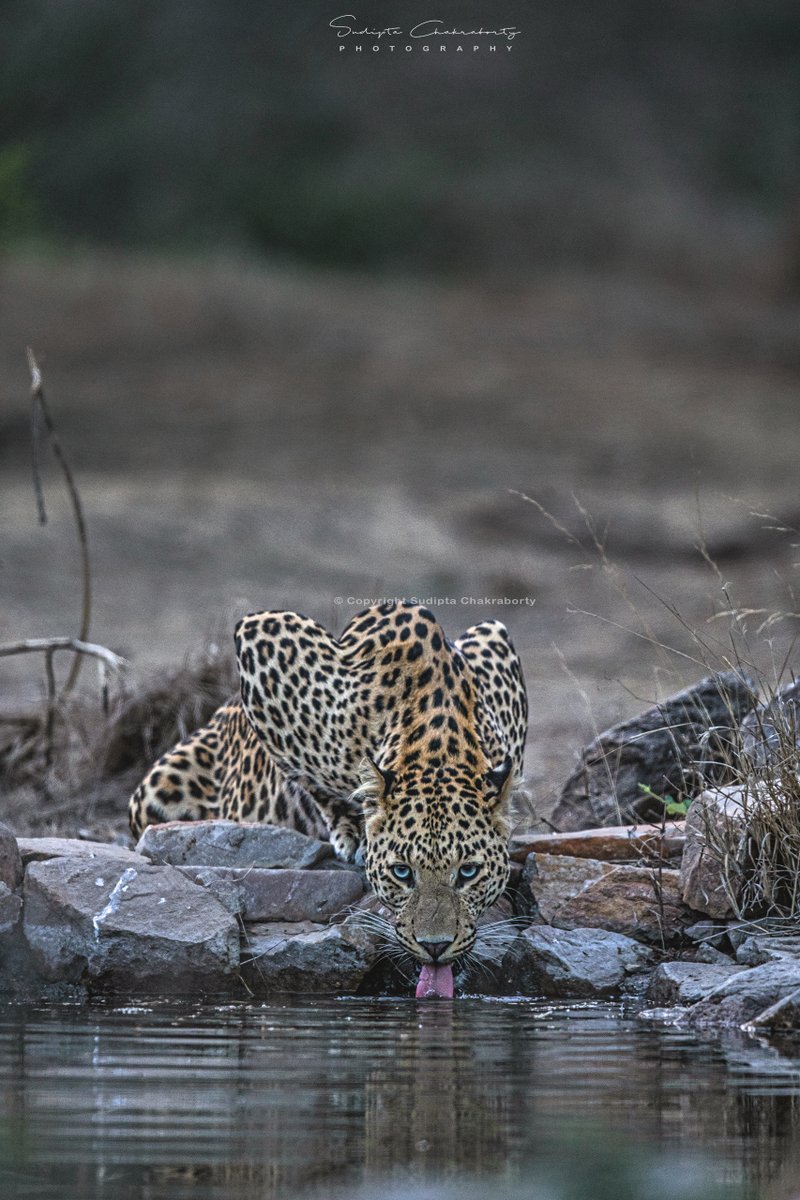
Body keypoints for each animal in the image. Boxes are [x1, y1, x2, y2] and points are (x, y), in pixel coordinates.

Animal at [128, 604, 527, 969]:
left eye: (468, 872)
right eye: (402, 873)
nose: (435, 947)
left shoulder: (494, 636)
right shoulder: (263, 637)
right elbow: (309, 779)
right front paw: (351, 829)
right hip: (156, 791)